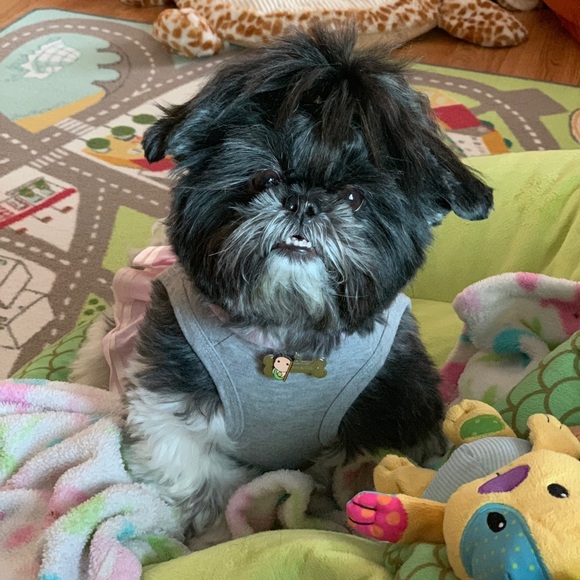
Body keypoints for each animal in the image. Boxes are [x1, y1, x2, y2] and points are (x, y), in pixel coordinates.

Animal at [71, 24, 493, 547]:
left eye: (353, 197)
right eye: (264, 178)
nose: (304, 202)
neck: (286, 335)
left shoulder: (392, 412)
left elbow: (359, 475)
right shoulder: (168, 412)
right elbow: (204, 487)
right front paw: (211, 535)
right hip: (104, 347)